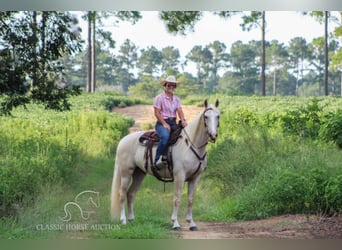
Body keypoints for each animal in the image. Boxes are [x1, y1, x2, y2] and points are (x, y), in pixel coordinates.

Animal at [111, 99, 220, 230]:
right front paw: (175, 223)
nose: (213, 135)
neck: (190, 145)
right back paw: (123, 220)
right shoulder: (179, 176)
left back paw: (132, 219)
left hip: (139, 173)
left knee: (131, 194)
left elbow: (190, 200)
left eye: (218, 116)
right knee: (122, 194)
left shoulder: (195, 178)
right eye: (206, 116)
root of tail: (122, 141)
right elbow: (177, 199)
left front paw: (191, 223)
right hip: (126, 173)